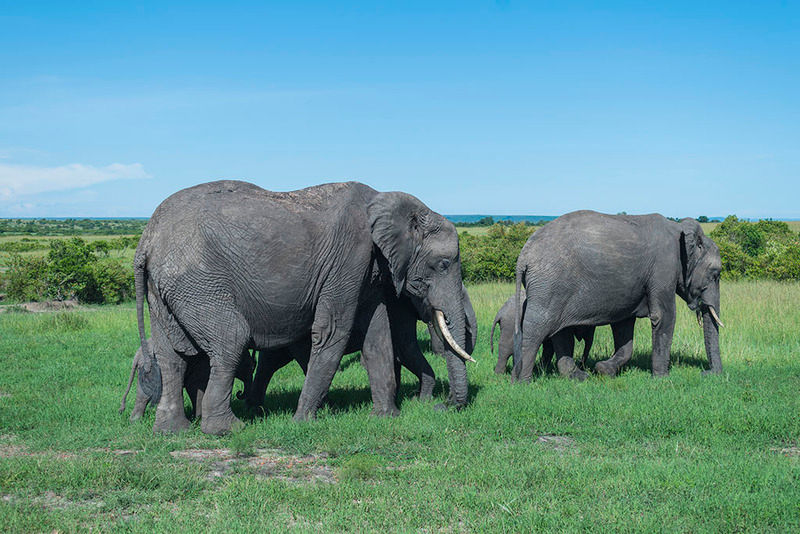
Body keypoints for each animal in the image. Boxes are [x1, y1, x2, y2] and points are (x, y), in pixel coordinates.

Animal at [119, 339, 255, 422]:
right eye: (251, 366)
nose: (239, 393)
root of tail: (137, 355)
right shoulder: (203, 365)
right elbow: (195, 387)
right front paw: (198, 419)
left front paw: (196, 419)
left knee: (143, 395)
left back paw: (135, 421)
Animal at [243, 283, 478, 410]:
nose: (443, 404)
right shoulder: (399, 307)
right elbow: (405, 349)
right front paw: (419, 399)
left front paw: (404, 397)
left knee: (271, 362)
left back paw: (255, 406)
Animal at [512, 211, 723, 382]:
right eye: (715, 274)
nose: (706, 374)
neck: (681, 230)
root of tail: (524, 255)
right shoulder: (664, 267)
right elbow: (663, 316)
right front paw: (662, 379)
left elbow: (623, 326)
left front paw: (604, 370)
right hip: (549, 284)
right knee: (537, 327)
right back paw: (523, 382)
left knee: (561, 331)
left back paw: (579, 376)